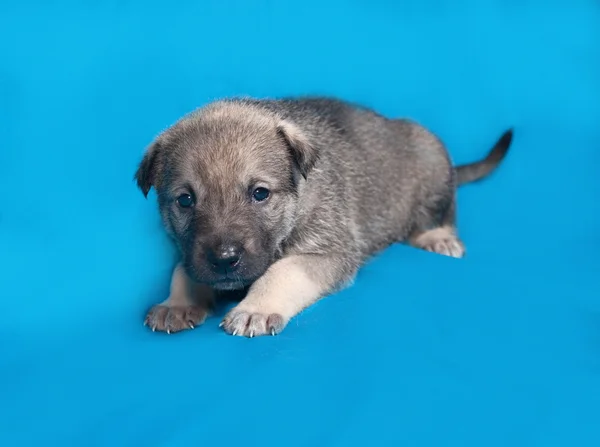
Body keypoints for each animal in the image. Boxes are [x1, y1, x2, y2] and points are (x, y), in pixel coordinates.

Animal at [135, 96, 510, 338]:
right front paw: (177, 302)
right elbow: (183, 269)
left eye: (260, 193)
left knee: (440, 212)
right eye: (185, 200)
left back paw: (436, 235)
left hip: (432, 163)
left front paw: (256, 307)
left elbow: (281, 271)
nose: (225, 259)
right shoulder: (192, 253)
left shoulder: (329, 250)